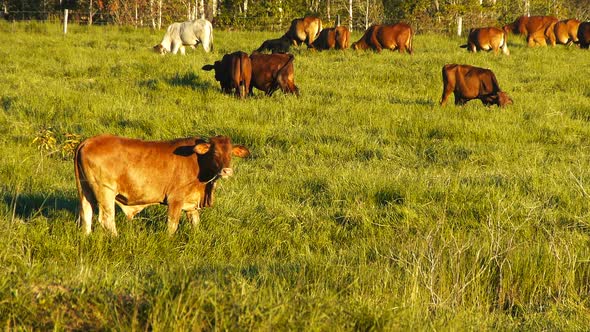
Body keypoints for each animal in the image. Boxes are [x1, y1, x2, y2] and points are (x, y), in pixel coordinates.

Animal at [74, 134, 250, 235]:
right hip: (105, 191)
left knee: (86, 214)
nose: (227, 171)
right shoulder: (175, 199)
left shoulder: (192, 204)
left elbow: (195, 224)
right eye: (214, 152)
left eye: (230, 153)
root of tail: (88, 141)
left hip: (86, 190)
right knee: (107, 219)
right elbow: (172, 225)